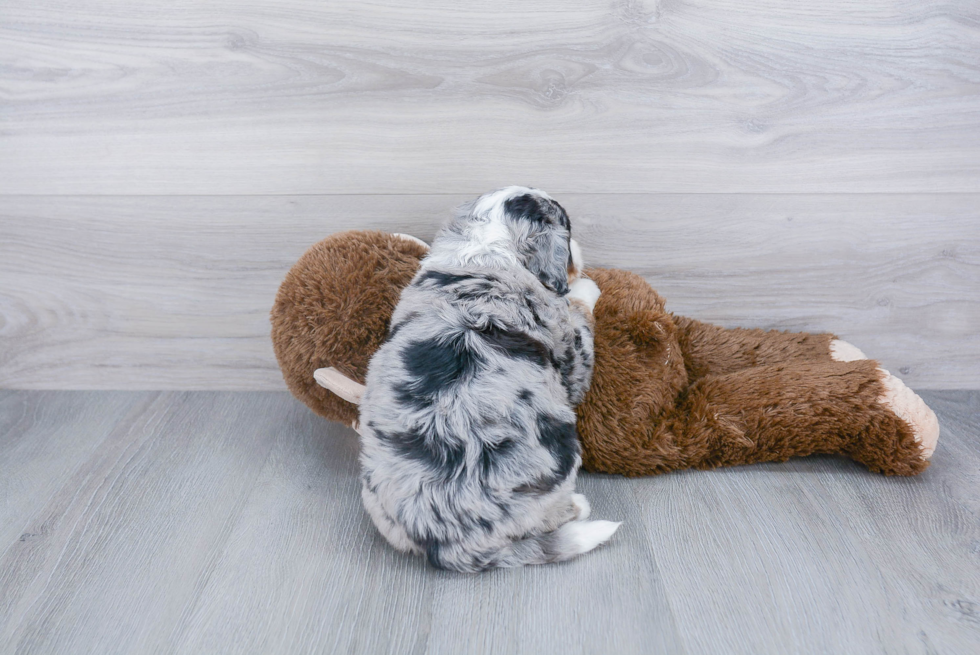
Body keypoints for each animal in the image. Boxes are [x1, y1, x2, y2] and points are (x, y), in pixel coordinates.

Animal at [360, 186, 620, 576]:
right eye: (568, 229)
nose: (580, 248)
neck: (484, 249)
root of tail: (450, 546)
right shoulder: (572, 355)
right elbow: (579, 311)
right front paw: (587, 286)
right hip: (562, 451)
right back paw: (577, 507)